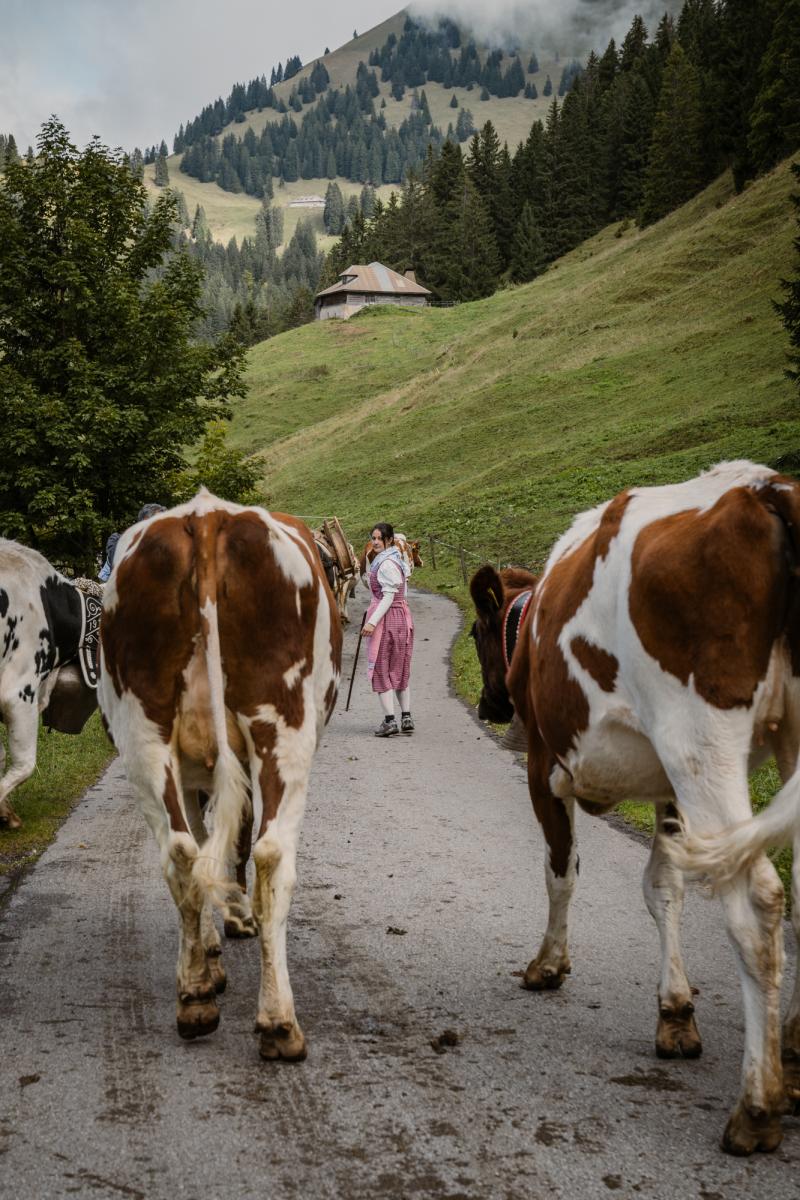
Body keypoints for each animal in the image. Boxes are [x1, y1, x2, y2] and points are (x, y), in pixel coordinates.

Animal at [99, 491, 341, 1059]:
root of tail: (205, 517)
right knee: (272, 856)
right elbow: (238, 839)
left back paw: (195, 999)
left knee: (181, 854)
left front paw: (210, 951)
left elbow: (204, 838)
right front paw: (233, 923)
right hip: (283, 726)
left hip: (143, 733)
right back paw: (278, 1021)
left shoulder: (189, 772)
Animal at [469, 461, 800, 1156]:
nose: (490, 705)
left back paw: (758, 1106)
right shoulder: (668, 786)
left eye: (479, 631)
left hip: (701, 738)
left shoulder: (545, 764)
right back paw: (794, 1061)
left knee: (757, 901)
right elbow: (662, 886)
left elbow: (561, 869)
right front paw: (675, 1013)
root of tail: (766, 489)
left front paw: (549, 964)